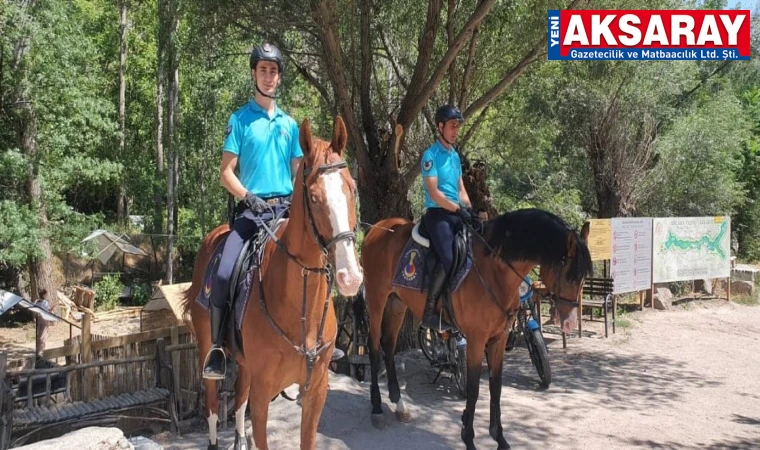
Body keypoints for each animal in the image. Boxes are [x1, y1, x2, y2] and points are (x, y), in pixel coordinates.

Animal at [181, 117, 366, 450]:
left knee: (238, 398)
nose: (350, 277)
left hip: (245, 366)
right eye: (314, 197)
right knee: (213, 405)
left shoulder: (316, 391)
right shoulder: (263, 393)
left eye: (352, 189)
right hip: (207, 351)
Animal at [360, 209, 592, 448]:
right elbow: (473, 389)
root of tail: (378, 228)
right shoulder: (476, 340)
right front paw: (468, 437)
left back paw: (398, 404)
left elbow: (496, 387)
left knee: (388, 344)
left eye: (584, 277)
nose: (569, 323)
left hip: (397, 302)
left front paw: (499, 438)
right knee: (374, 347)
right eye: (569, 275)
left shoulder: (498, 339)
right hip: (377, 299)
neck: (495, 272)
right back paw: (377, 408)